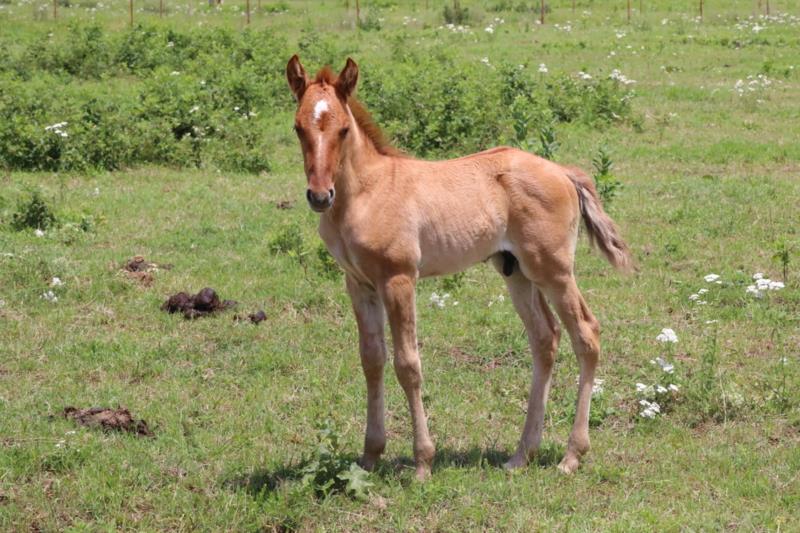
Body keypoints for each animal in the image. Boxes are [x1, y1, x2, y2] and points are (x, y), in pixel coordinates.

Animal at [286, 55, 634, 480]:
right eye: (298, 127)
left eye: (344, 129)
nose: (320, 195)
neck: (367, 192)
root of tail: (564, 172)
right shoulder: (358, 283)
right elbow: (372, 360)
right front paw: (370, 456)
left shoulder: (399, 279)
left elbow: (407, 364)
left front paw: (422, 462)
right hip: (517, 272)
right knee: (545, 338)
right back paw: (522, 454)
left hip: (553, 271)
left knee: (586, 333)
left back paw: (571, 455)